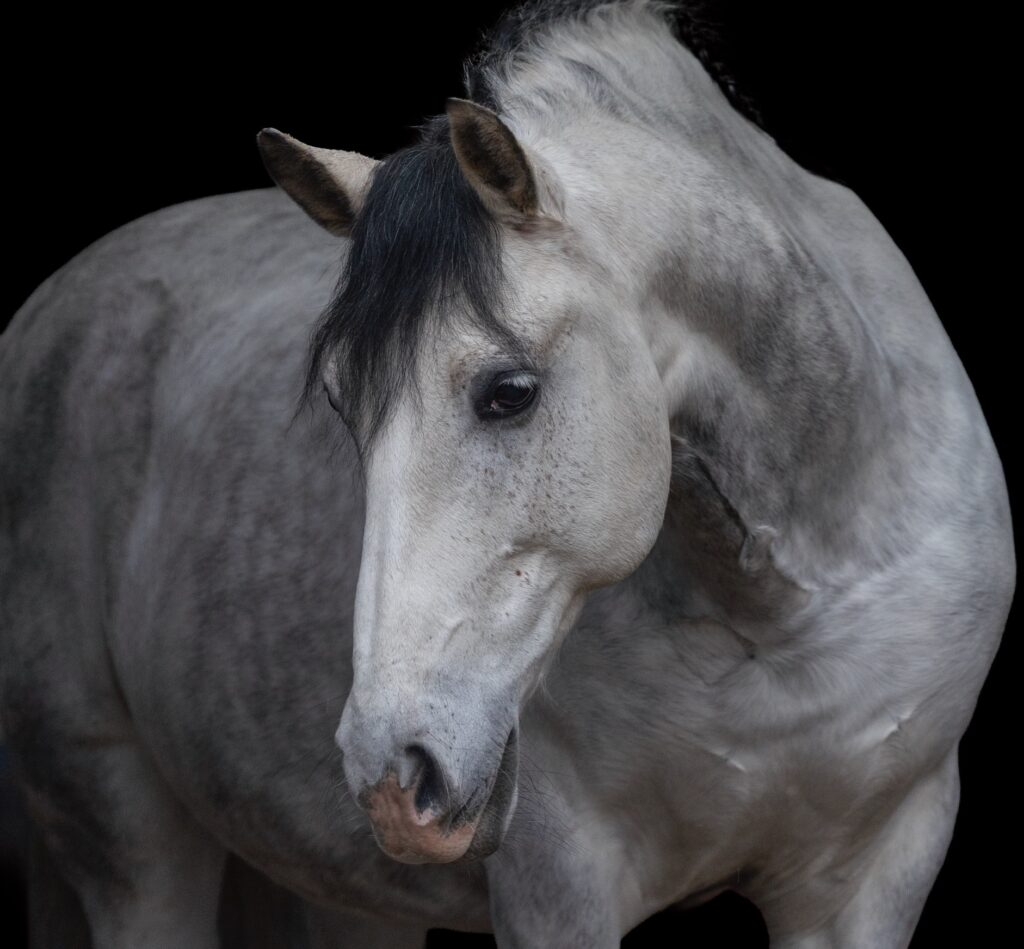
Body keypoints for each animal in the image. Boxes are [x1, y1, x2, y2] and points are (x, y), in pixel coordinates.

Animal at [0, 1, 1014, 946]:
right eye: (339, 404)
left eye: (509, 392)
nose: (392, 771)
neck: (781, 619)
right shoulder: (560, 883)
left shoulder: (874, 873)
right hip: (127, 830)